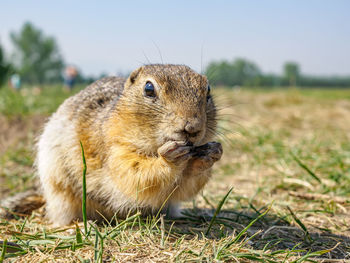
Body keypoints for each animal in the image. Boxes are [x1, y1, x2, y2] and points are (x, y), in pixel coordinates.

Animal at [0, 64, 221, 227]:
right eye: (149, 89)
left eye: (208, 90)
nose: (192, 128)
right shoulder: (114, 148)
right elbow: (133, 174)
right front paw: (169, 158)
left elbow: (185, 188)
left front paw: (211, 153)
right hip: (59, 191)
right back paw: (80, 226)